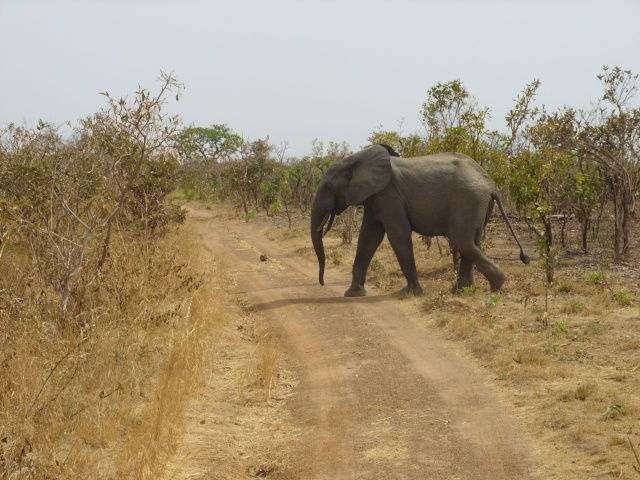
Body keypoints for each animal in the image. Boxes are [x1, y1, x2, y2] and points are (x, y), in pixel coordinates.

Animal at [312, 144, 528, 298]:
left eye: (328, 187)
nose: (322, 283)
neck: (356, 159)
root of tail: (491, 183)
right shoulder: (375, 197)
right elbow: (368, 237)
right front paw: (353, 294)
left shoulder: (387, 194)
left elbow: (398, 234)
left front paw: (410, 293)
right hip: (478, 204)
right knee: (472, 242)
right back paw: (463, 291)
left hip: (469, 200)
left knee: (461, 241)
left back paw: (497, 284)